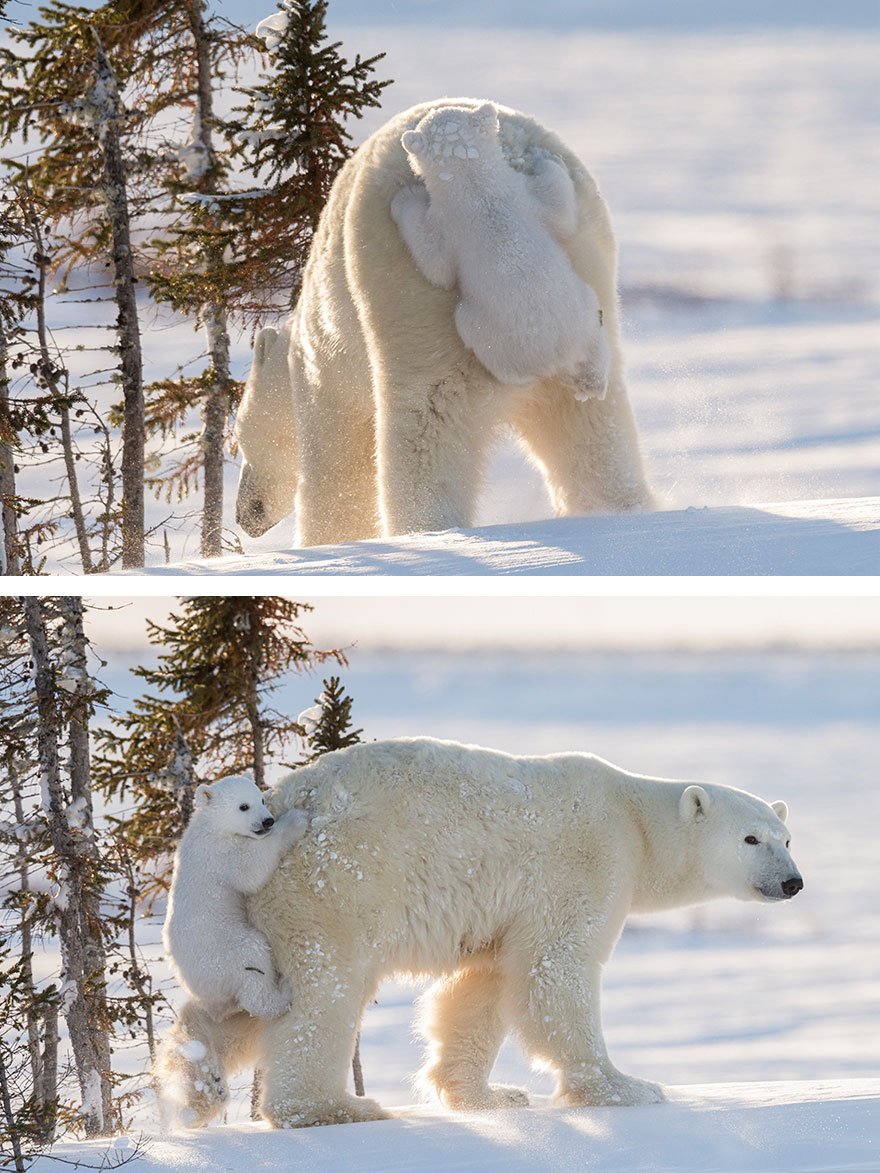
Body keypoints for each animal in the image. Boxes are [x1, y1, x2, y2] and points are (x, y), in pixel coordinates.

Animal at [161, 778, 309, 1018]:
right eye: (243, 806)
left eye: (261, 799)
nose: (268, 821)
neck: (211, 827)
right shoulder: (220, 855)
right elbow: (251, 869)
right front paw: (297, 819)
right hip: (225, 952)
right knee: (253, 962)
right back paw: (283, 992)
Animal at [394, 102, 610, 394]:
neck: (477, 186)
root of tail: (558, 356)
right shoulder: (512, 200)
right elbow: (558, 210)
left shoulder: (463, 216)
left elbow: (437, 267)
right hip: (572, 317)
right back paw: (592, 383)